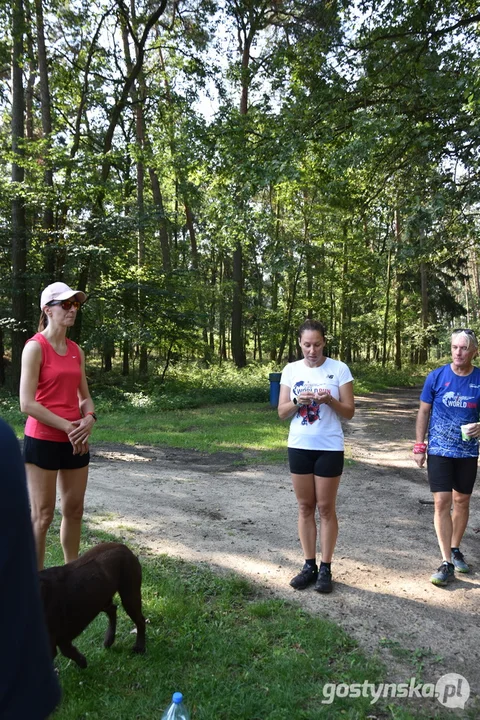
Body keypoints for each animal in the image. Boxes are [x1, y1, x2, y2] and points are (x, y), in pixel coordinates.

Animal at [39, 540, 145, 668]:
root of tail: (124, 547)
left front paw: (81, 661)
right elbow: (66, 648)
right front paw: (81, 661)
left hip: (129, 597)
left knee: (140, 621)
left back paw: (140, 647)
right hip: (100, 600)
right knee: (113, 609)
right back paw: (109, 640)